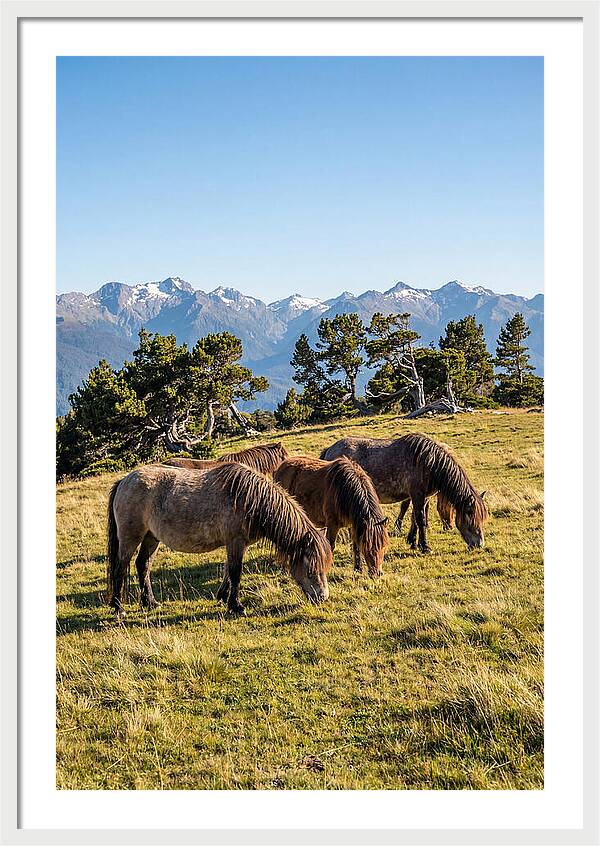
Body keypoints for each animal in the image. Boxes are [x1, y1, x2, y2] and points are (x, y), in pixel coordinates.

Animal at [106, 462, 332, 617]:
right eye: (311, 570)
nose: (322, 597)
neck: (249, 499)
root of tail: (124, 481)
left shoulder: (238, 544)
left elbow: (227, 571)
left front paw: (223, 597)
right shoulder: (235, 542)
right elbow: (236, 572)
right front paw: (237, 606)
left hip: (151, 538)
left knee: (143, 565)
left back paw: (150, 602)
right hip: (130, 537)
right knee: (120, 567)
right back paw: (119, 608)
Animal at [320, 433, 487, 552]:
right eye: (471, 516)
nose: (479, 544)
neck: (428, 461)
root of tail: (329, 449)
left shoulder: (423, 497)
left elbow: (416, 518)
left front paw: (413, 542)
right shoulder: (417, 494)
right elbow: (420, 519)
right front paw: (425, 547)